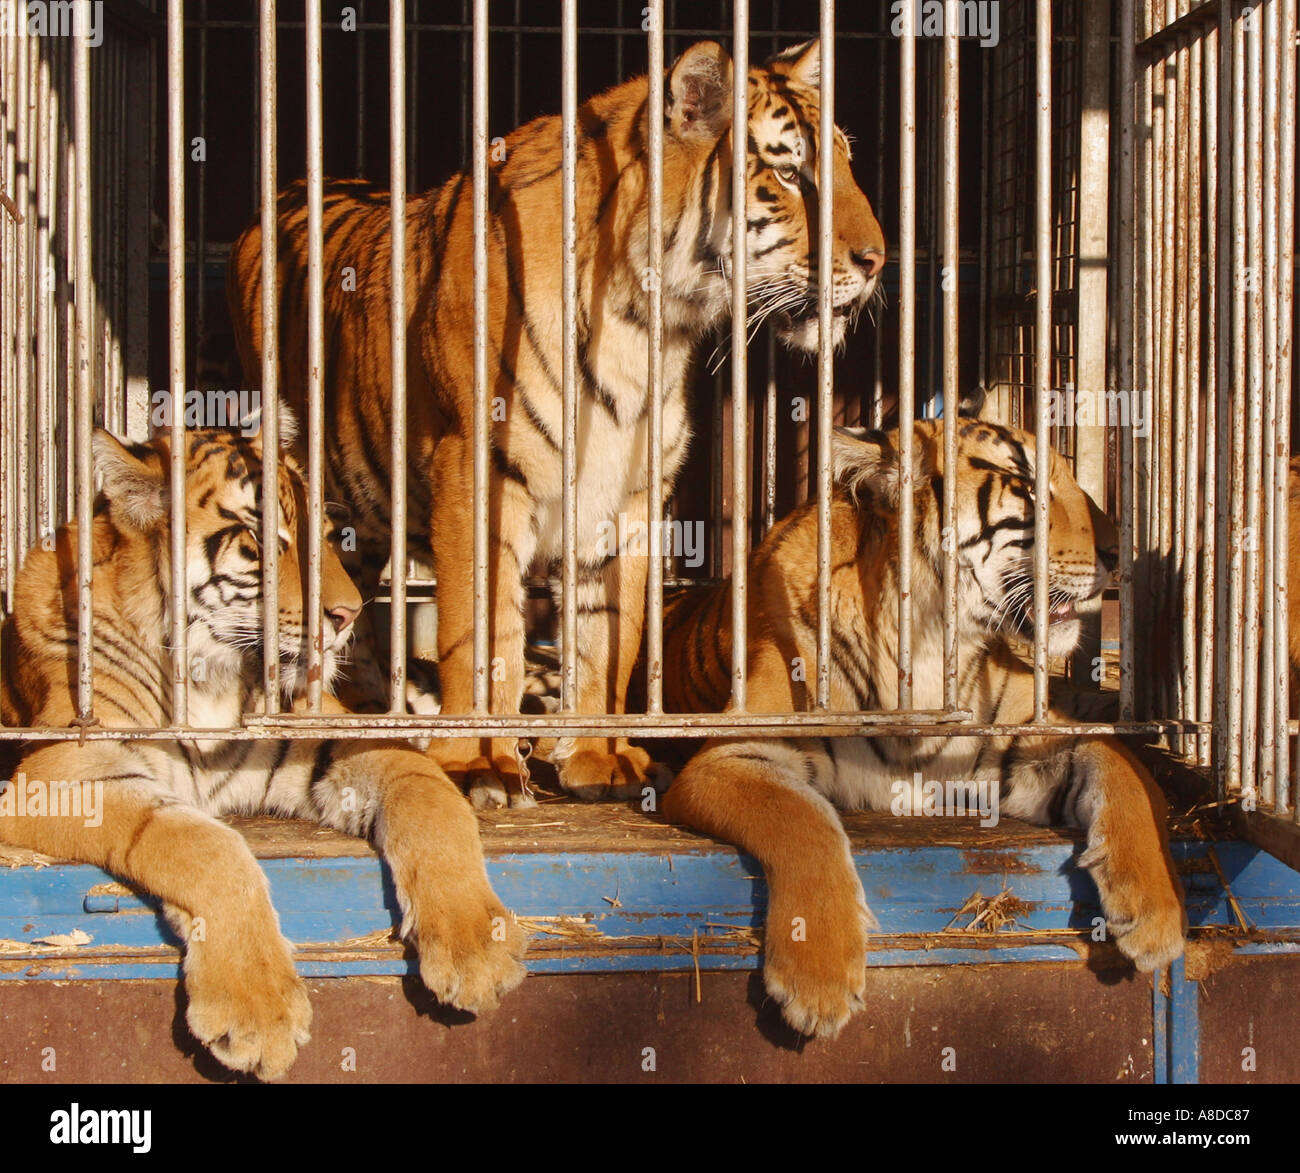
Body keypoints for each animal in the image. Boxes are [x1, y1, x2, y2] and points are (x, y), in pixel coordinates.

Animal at [0, 417, 527, 1081]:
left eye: (325, 536)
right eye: (259, 538)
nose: (347, 614)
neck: (211, 678)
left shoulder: (320, 738)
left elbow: (429, 796)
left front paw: (478, 947)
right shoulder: (63, 770)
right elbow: (203, 845)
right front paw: (257, 1011)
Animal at [226, 39, 886, 809]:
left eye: (845, 163)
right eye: (786, 172)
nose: (879, 260)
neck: (643, 322)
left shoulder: (627, 494)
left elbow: (609, 642)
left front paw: (601, 756)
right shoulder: (478, 476)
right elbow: (484, 639)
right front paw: (477, 762)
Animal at [656, 418, 1187, 1040]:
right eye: (1029, 486)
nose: (1119, 553)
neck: (927, 644)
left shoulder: (1019, 745)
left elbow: (1125, 771)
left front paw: (1159, 918)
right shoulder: (736, 752)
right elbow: (800, 819)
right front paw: (819, 979)